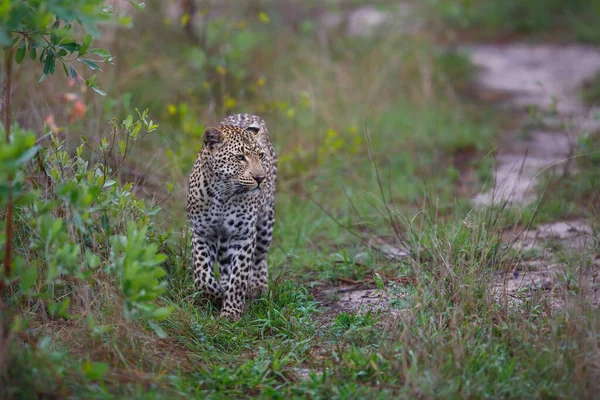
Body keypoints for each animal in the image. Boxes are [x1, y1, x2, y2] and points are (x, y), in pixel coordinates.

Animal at [186, 114, 278, 320]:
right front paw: (217, 294)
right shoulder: (202, 232)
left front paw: (231, 313)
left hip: (265, 221)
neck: (223, 194)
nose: (260, 178)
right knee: (225, 263)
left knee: (259, 256)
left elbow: (239, 276)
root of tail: (247, 113)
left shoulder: (243, 235)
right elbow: (202, 274)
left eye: (260, 156)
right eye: (240, 157)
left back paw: (258, 286)